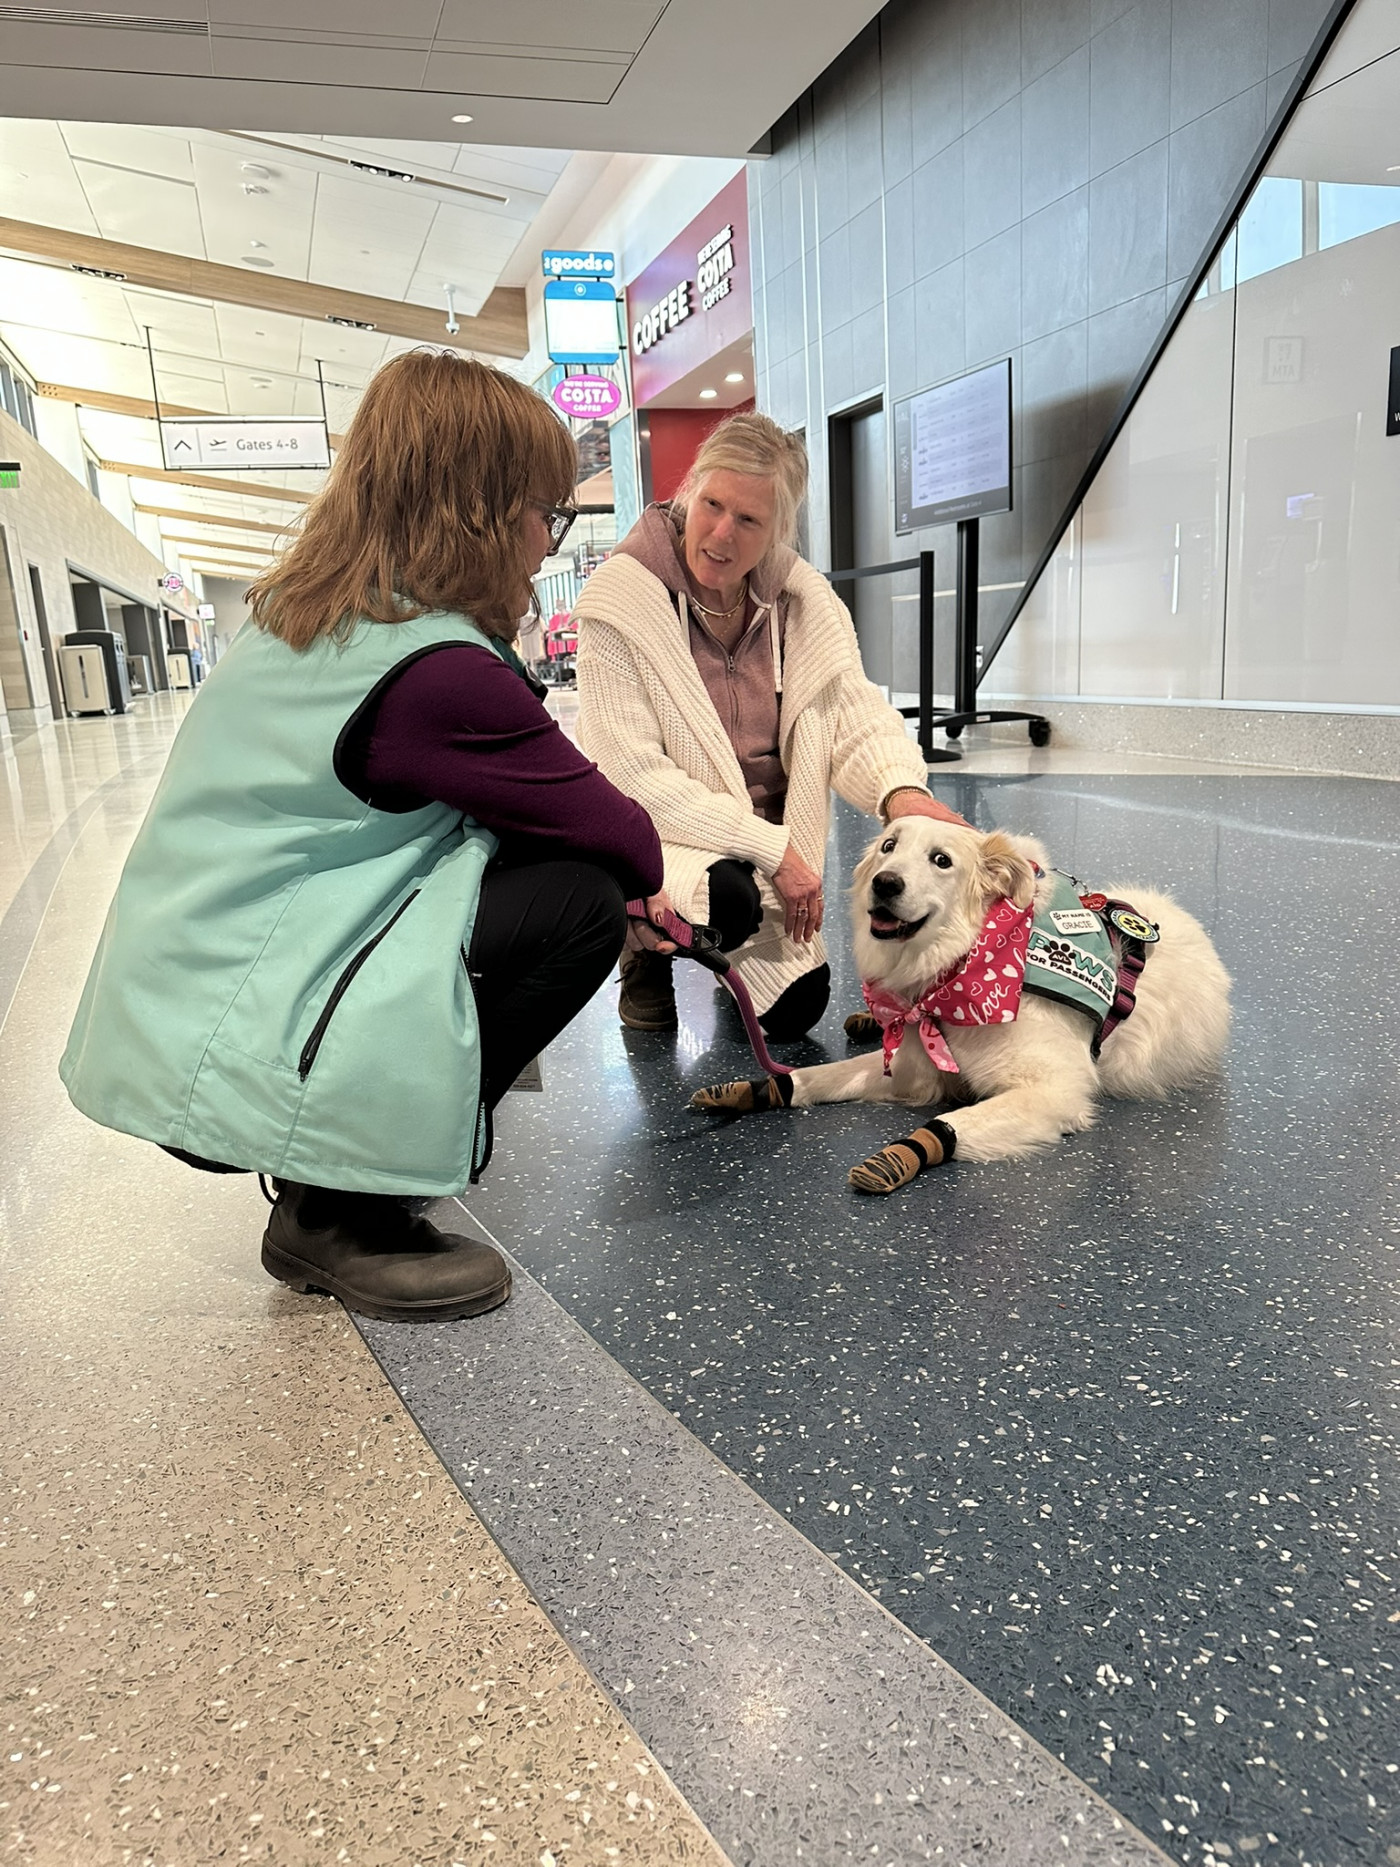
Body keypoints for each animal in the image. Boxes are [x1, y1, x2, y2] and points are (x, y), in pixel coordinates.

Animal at [690, 818, 1232, 1193]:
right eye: (889, 846)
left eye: (941, 860)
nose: (884, 883)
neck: (967, 966)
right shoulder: (911, 1066)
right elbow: (816, 1077)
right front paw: (757, 1089)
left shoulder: (1051, 1092)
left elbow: (947, 1127)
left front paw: (898, 1157)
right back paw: (865, 1018)